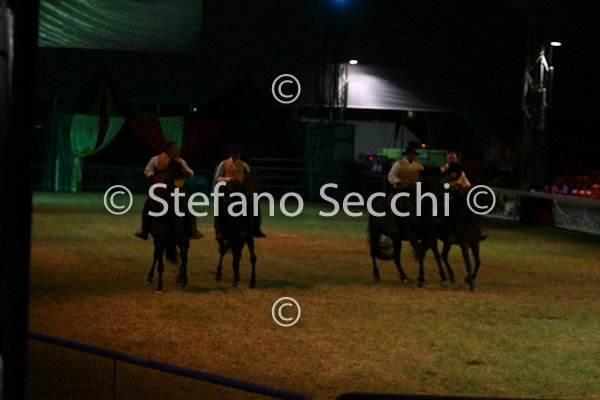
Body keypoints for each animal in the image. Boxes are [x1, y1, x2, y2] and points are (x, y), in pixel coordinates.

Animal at [146, 160, 190, 292]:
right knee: (156, 256)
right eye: (153, 181)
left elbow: (184, 257)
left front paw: (181, 278)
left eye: (166, 182)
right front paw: (159, 287)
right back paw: (149, 277)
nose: (155, 204)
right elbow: (160, 263)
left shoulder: (183, 238)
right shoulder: (159, 239)